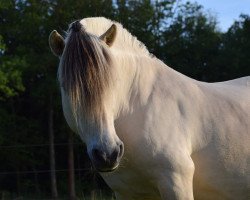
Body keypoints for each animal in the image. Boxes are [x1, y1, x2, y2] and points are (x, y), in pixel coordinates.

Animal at [48, 17, 250, 200]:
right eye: (68, 87)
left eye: (113, 82)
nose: (107, 154)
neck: (140, 109)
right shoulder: (126, 192)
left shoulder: (176, 183)